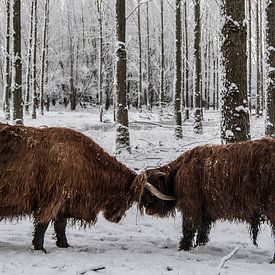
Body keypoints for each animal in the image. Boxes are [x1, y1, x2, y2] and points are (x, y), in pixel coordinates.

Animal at [0, 124, 174, 253]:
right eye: (129, 197)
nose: (116, 218)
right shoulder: (52, 199)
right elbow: (43, 223)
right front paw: (40, 248)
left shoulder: (64, 201)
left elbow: (60, 225)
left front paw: (64, 245)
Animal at [141, 139, 275, 264]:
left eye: (149, 192)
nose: (146, 208)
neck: (179, 170)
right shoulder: (206, 211)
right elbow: (202, 232)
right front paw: (199, 246)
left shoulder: (191, 204)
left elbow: (188, 228)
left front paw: (183, 248)